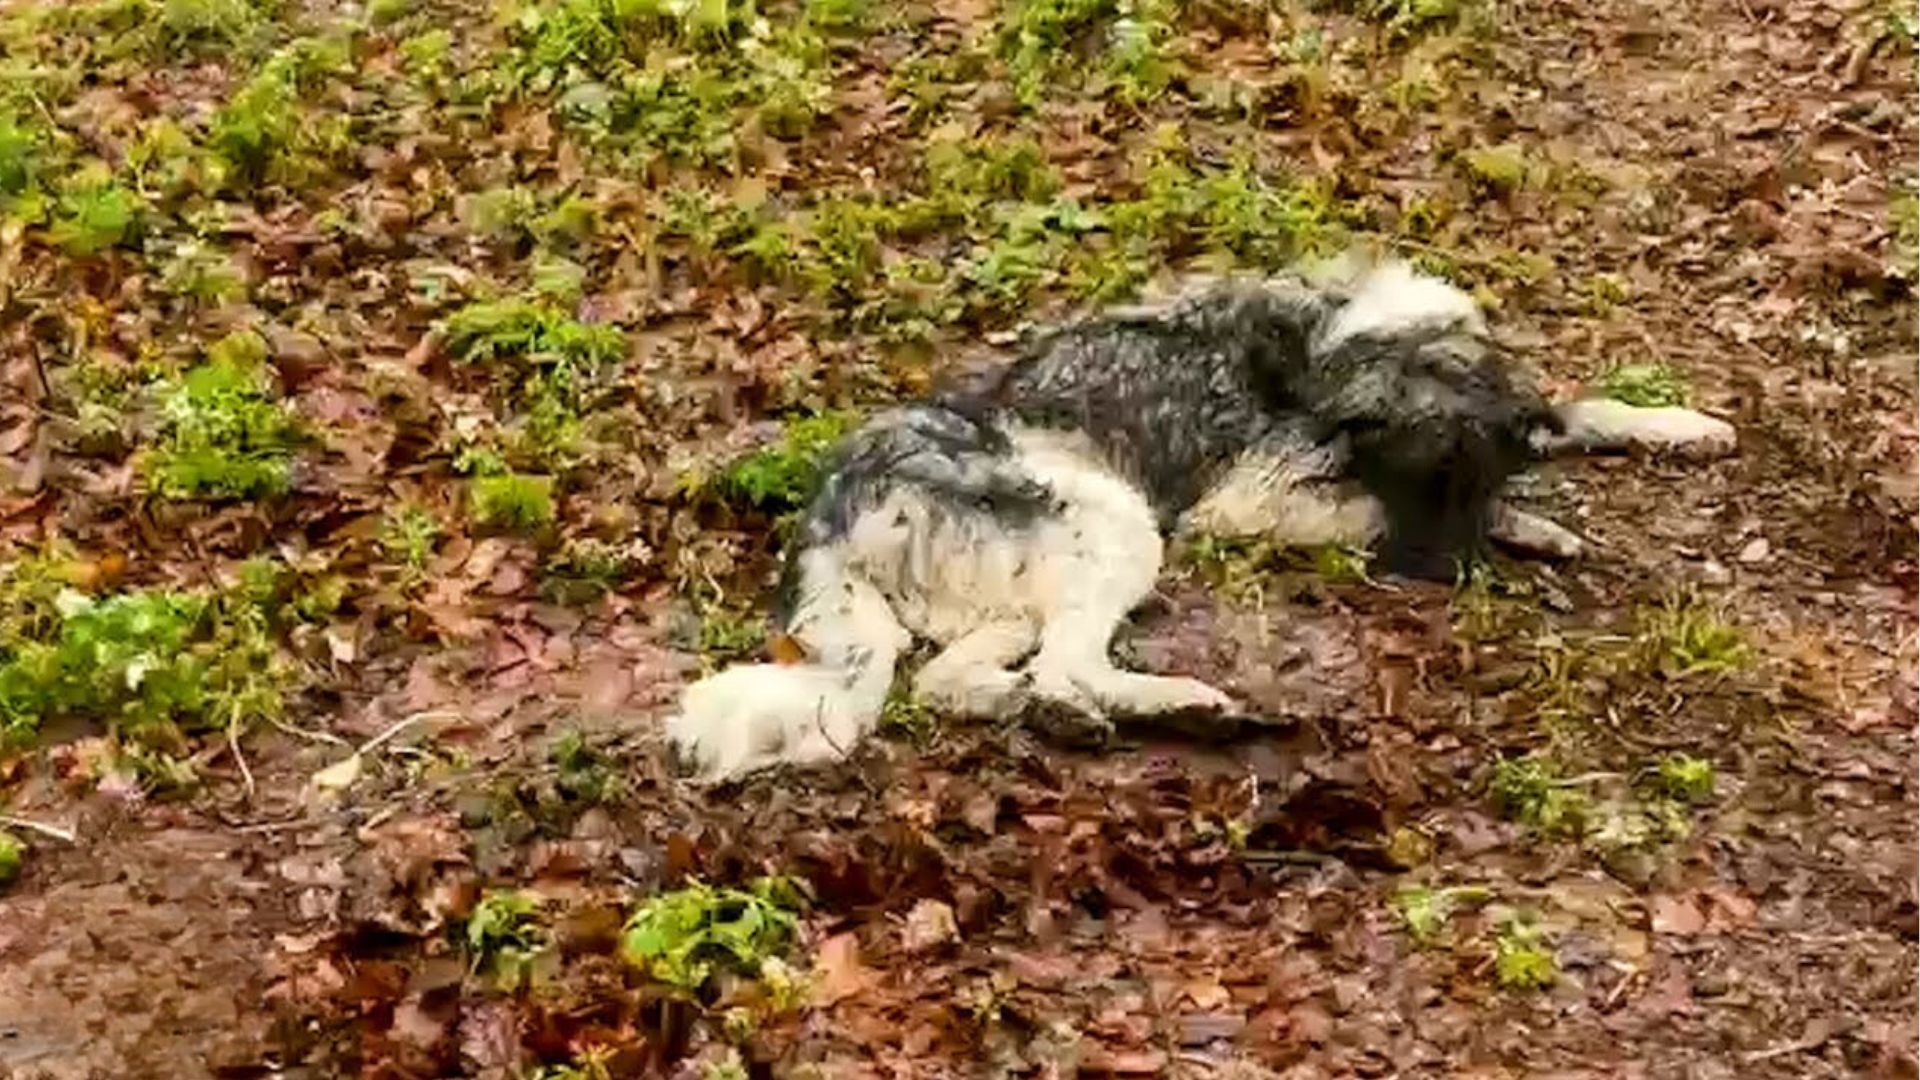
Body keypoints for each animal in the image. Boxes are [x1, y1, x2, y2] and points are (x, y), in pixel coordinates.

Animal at [664, 263, 1743, 780]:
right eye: (1421, 479)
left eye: (1457, 482)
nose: (1440, 579)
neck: (1342, 341)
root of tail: (831, 517)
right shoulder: (1255, 501)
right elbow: (1357, 511)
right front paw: (1533, 525)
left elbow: (1581, 411)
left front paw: (1677, 428)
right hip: (1113, 521)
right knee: (1065, 663)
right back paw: (1180, 705)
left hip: (1011, 592)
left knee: (960, 681)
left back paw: (1046, 710)